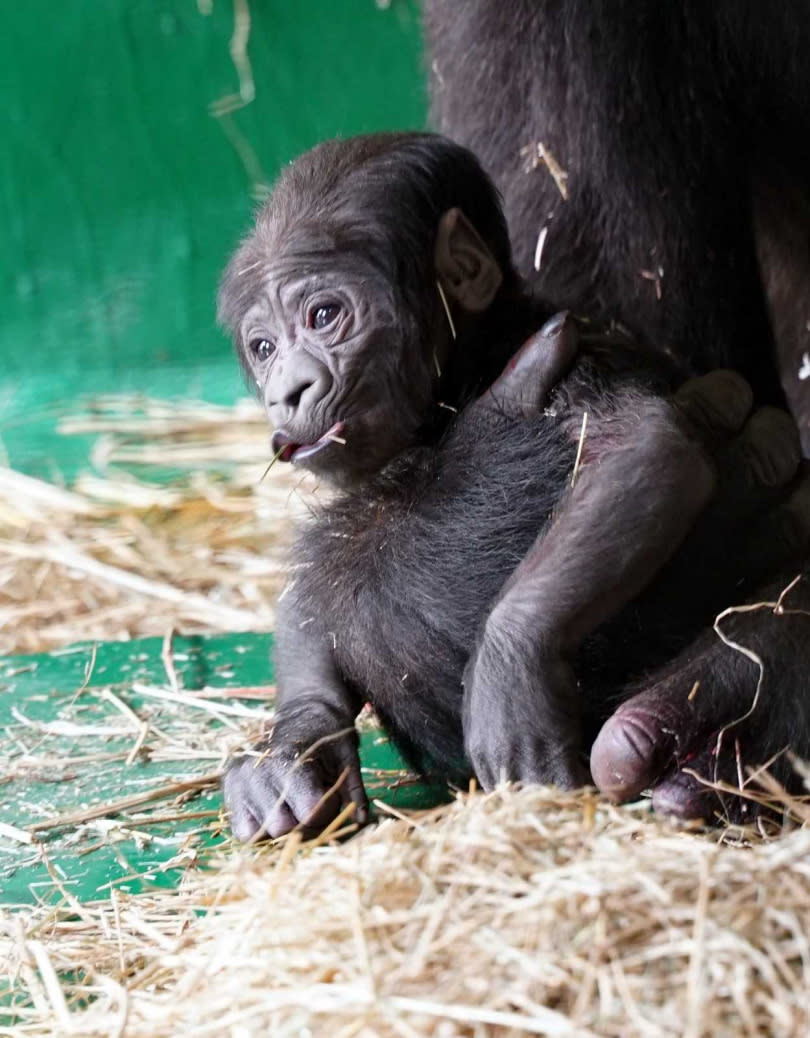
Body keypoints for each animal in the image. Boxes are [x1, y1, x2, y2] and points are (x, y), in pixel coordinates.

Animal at [217, 133, 801, 838]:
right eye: (263, 347)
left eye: (325, 314)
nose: (289, 390)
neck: (472, 360)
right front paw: (291, 754)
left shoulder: (578, 361)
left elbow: (641, 449)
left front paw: (509, 670)